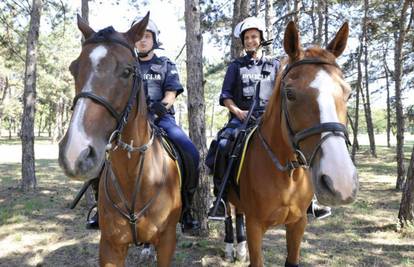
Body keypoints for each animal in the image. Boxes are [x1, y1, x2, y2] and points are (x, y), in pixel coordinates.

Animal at [58, 13, 181, 267]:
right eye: (74, 69)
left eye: (126, 72)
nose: (75, 154)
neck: (136, 178)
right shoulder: (110, 247)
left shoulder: (167, 242)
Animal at [230, 21, 360, 267]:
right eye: (289, 94)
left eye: (348, 94)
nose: (341, 182)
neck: (287, 174)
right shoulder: (255, 226)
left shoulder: (298, 224)